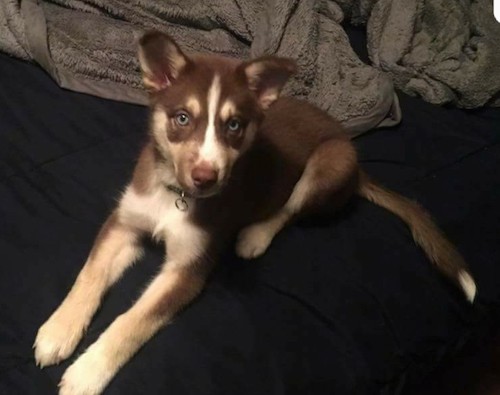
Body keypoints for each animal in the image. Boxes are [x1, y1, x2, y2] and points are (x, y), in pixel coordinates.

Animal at [32, 31, 476, 395]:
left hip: (328, 165)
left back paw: (253, 237)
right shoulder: (124, 223)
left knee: (290, 208)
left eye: (234, 126)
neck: (176, 195)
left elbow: (134, 319)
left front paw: (88, 371)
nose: (206, 178)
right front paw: (59, 329)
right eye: (181, 118)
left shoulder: (189, 268)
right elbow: (89, 273)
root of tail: (355, 159)